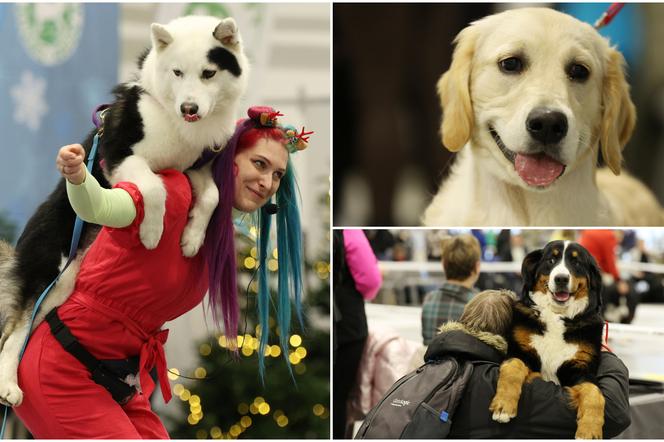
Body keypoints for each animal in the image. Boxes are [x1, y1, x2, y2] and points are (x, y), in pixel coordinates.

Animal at [488, 242, 608, 438]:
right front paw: (504, 406)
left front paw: (590, 430)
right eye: (551, 260)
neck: (557, 316)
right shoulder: (520, 352)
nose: (561, 279)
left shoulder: (581, 367)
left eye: (576, 262)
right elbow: (513, 368)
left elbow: (594, 393)